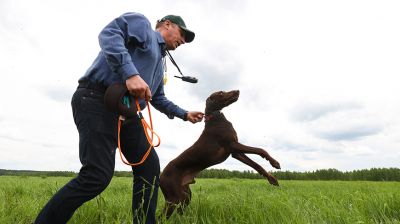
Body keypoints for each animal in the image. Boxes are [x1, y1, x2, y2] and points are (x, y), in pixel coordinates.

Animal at [159, 90, 282, 218]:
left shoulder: (235, 153)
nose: (238, 91)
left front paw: (272, 178)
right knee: (161, 218)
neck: (215, 117)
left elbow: (256, 164)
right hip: (174, 199)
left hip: (185, 196)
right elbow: (260, 150)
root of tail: (160, 176)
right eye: (221, 93)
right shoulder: (232, 144)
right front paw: (274, 163)